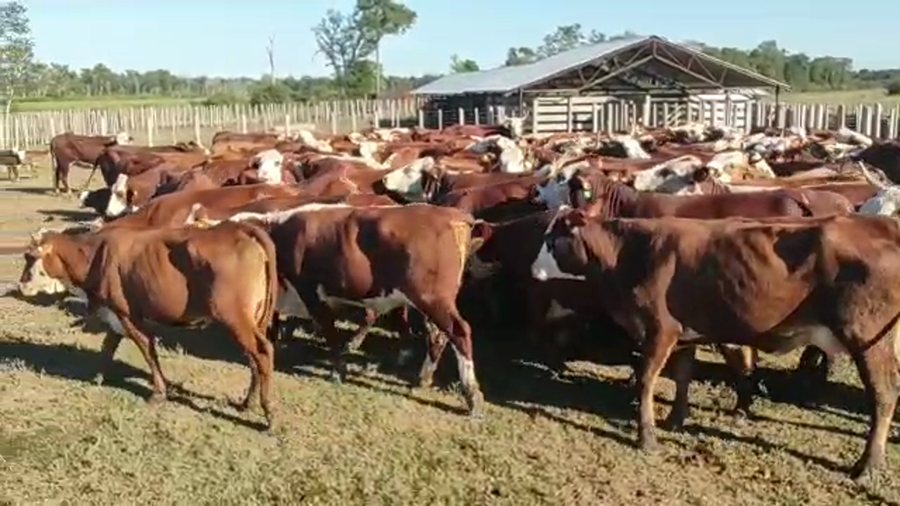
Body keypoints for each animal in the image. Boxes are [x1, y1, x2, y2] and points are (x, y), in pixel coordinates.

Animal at [16, 221, 280, 429]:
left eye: (30, 257)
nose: (21, 285)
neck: (96, 255)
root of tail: (237, 228)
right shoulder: (114, 312)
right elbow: (108, 346)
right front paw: (97, 376)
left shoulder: (128, 314)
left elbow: (147, 348)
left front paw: (159, 392)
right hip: (254, 319)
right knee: (253, 359)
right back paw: (247, 403)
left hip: (233, 316)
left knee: (262, 352)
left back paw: (269, 416)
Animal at [533, 210, 900, 481]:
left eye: (552, 240)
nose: (534, 270)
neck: (628, 253)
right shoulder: (683, 333)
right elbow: (682, 376)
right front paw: (676, 420)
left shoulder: (660, 330)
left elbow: (646, 381)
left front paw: (646, 436)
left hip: (868, 338)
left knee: (883, 395)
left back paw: (867, 466)